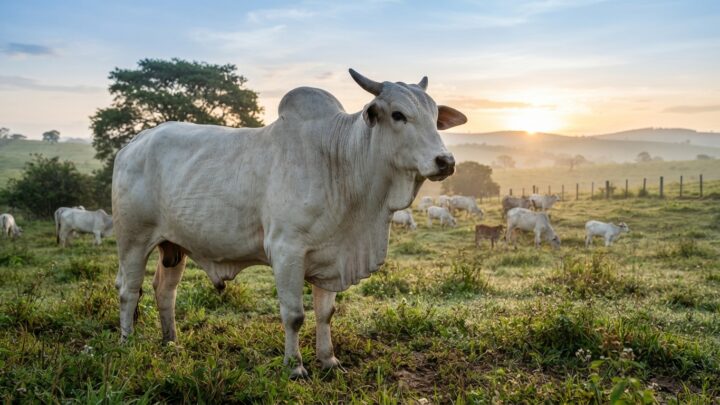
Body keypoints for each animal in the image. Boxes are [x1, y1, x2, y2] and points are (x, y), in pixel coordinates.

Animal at [111, 69, 467, 378]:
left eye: (435, 116)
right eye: (398, 115)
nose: (445, 161)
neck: (341, 163)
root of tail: (134, 143)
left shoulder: (333, 254)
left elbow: (325, 314)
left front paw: (329, 361)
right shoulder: (286, 251)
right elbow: (294, 315)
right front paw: (294, 366)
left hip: (173, 246)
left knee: (164, 291)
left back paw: (171, 343)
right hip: (133, 240)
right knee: (129, 291)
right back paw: (127, 343)